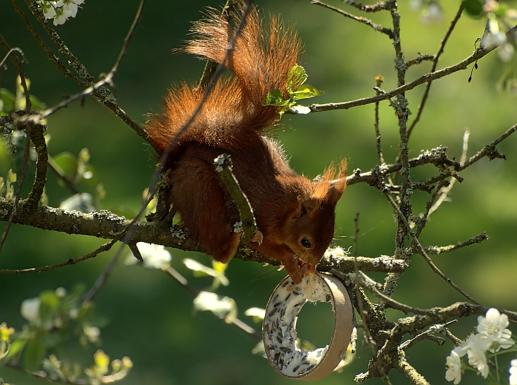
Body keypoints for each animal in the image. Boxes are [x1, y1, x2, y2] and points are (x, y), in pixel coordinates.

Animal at [145, 3, 346, 282]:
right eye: (306, 242)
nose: (313, 264)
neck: (286, 206)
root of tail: (180, 155)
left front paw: (300, 266)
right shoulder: (262, 212)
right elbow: (266, 247)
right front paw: (291, 262)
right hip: (199, 186)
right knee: (216, 244)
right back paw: (230, 241)